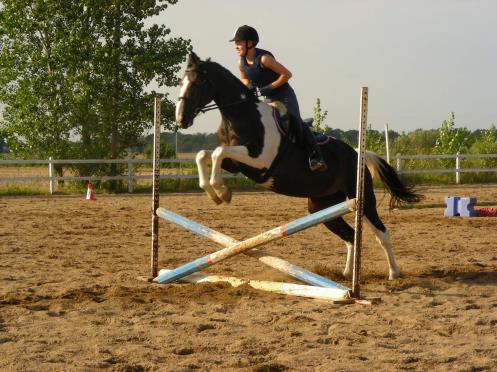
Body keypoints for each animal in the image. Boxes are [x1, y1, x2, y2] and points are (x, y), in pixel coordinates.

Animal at [172, 52, 420, 280]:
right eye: (181, 83)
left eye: (196, 83)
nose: (181, 119)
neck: (241, 115)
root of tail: (357, 154)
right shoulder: (236, 164)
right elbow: (205, 154)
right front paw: (214, 191)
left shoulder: (260, 161)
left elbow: (217, 153)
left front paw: (222, 192)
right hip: (321, 207)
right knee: (350, 235)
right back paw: (347, 273)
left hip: (362, 199)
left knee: (382, 233)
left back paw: (394, 273)